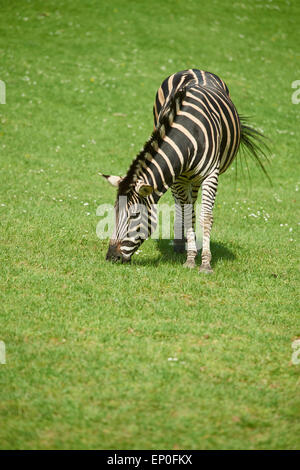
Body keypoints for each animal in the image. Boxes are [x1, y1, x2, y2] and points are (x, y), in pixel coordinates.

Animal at [100, 69, 268, 272]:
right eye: (115, 211)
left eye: (134, 215)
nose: (111, 257)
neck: (187, 135)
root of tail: (195, 69)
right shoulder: (177, 177)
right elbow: (188, 214)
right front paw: (190, 259)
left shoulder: (210, 175)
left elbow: (206, 217)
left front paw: (205, 263)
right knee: (183, 205)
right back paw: (182, 243)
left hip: (195, 177)